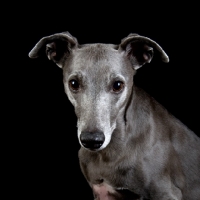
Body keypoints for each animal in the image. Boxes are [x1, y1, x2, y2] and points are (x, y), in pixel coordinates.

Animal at [28, 32, 200, 199]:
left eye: (118, 85)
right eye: (74, 83)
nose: (92, 140)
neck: (109, 152)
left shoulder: (166, 192)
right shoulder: (101, 191)